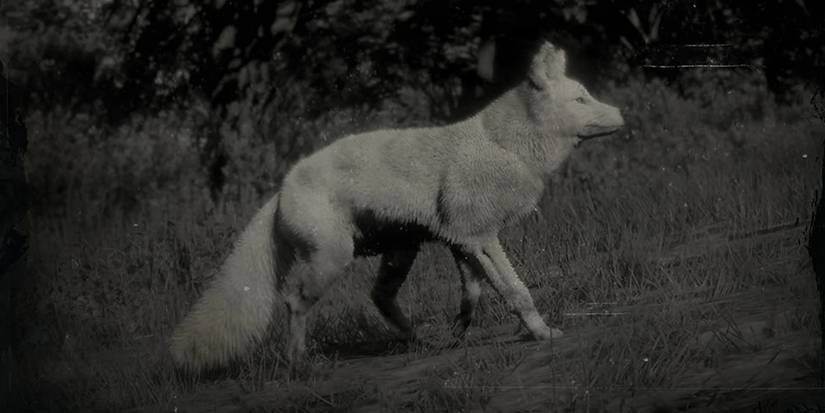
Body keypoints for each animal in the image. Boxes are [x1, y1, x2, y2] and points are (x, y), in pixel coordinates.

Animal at [170, 41, 624, 370]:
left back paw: (417, 339)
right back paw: (300, 364)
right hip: (334, 259)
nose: (622, 113)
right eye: (582, 101)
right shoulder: (481, 238)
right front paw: (541, 333)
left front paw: (457, 332)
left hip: (400, 251)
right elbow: (517, 290)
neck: (505, 146)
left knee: (379, 298)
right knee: (295, 302)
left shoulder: (461, 242)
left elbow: (473, 294)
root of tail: (280, 191)